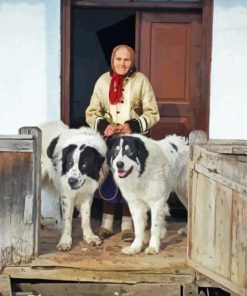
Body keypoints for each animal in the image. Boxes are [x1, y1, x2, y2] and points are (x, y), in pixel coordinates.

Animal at [41, 121, 107, 251]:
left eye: (85, 165)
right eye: (70, 163)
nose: (71, 181)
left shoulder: (88, 193)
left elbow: (86, 217)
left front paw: (89, 237)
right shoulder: (67, 194)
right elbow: (68, 219)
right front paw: (65, 240)